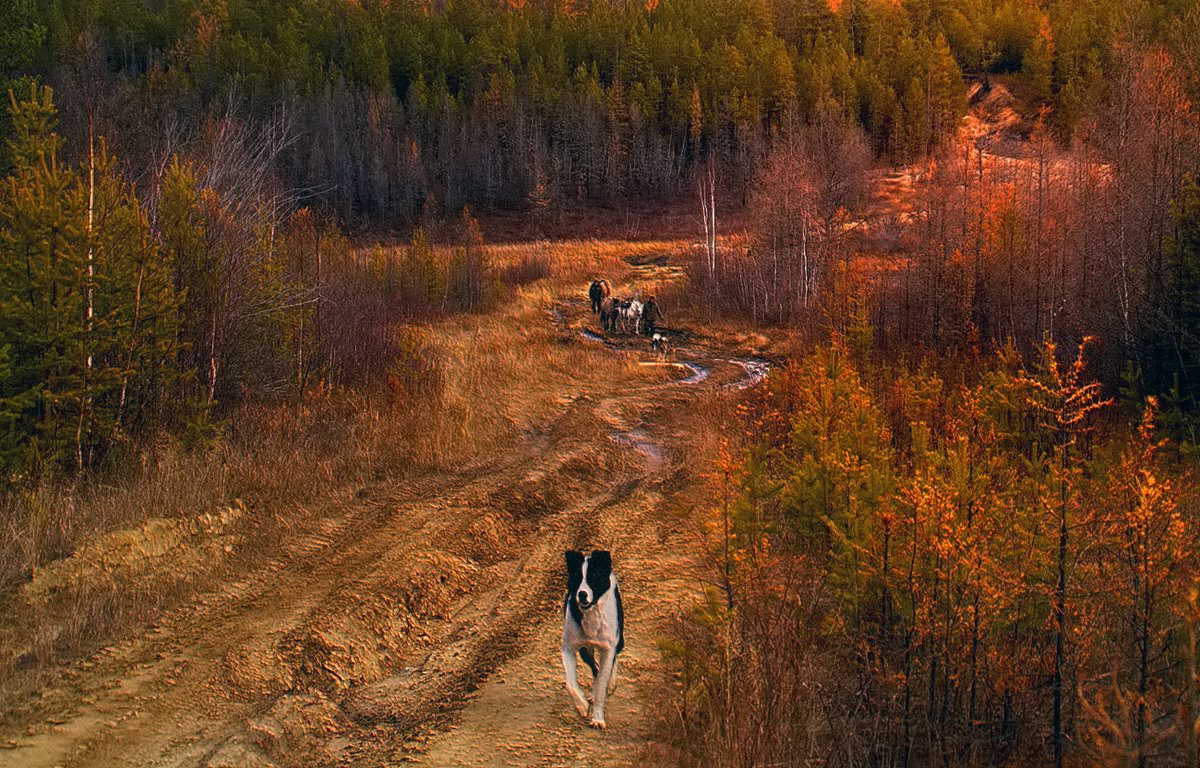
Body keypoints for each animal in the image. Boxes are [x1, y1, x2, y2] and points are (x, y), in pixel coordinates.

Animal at [559, 549, 624, 729]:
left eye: (594, 575)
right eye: (576, 576)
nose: (582, 594)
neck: (592, 613)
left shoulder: (608, 648)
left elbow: (602, 683)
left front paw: (598, 719)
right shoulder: (568, 647)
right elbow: (570, 683)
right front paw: (582, 705)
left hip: (619, 639)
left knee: (613, 660)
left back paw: (612, 682)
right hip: (585, 650)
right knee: (595, 668)